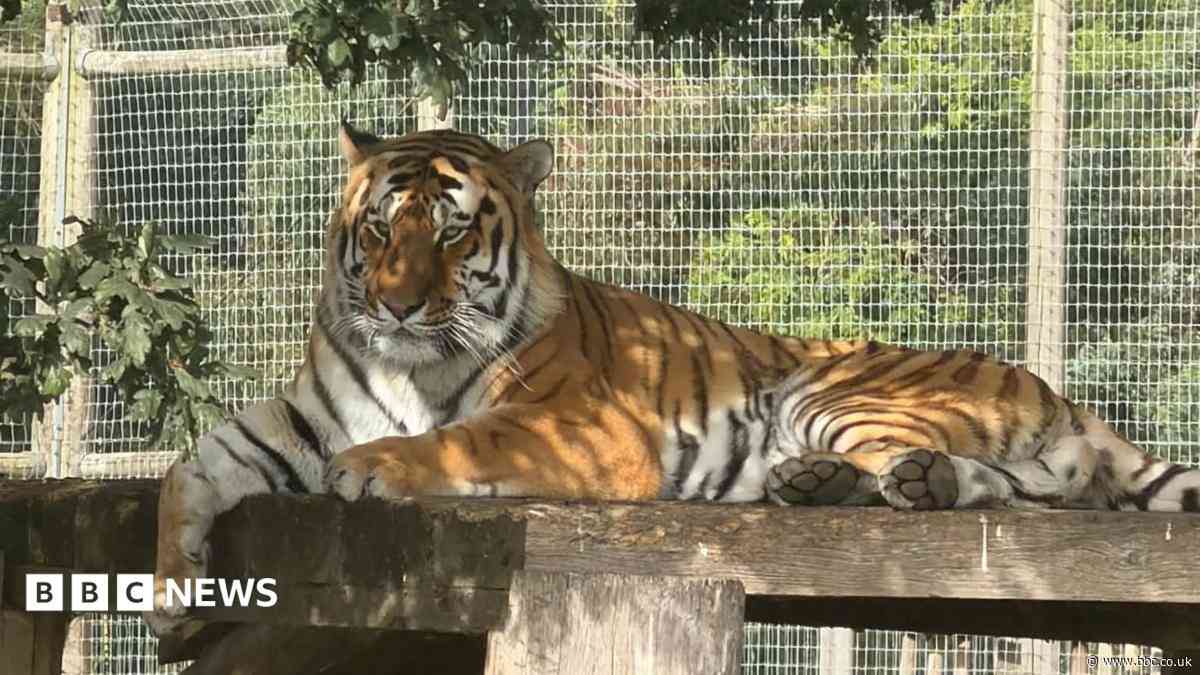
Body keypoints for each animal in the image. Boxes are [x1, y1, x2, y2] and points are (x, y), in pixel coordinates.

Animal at [148, 124, 1200, 633]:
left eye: (448, 232)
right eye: (376, 230)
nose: (400, 306)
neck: (401, 363)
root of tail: (1055, 389)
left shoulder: (582, 428)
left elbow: (461, 435)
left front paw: (377, 466)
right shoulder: (294, 418)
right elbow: (186, 469)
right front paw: (170, 596)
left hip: (831, 390)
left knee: (1011, 486)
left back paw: (872, 482)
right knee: (1026, 488)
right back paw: (835, 485)